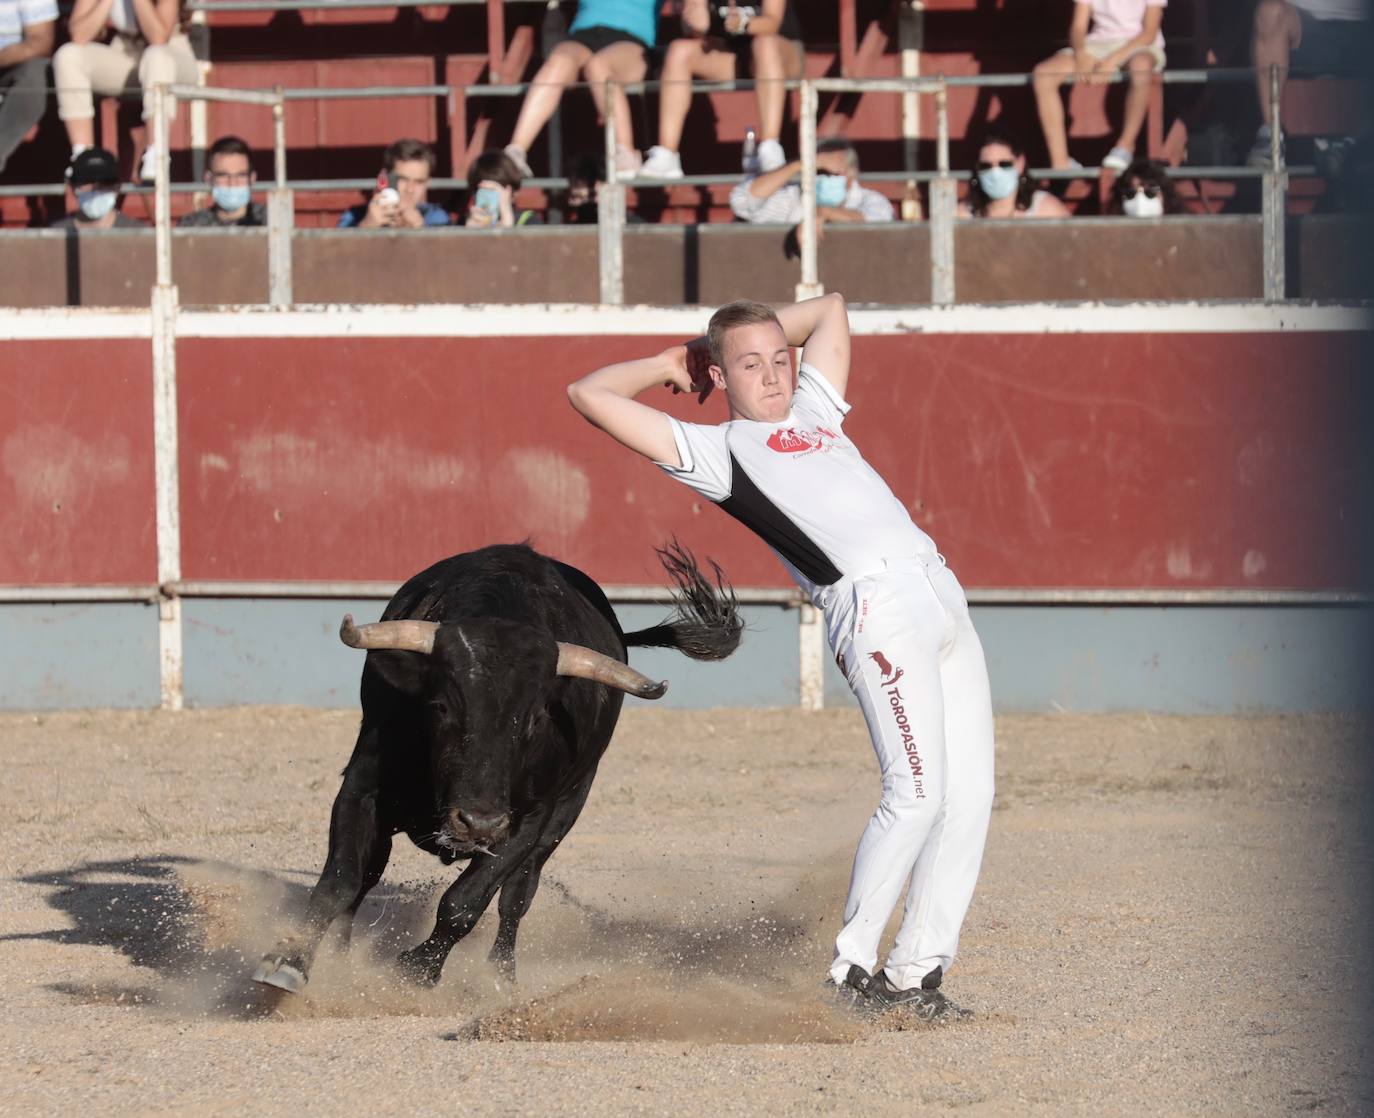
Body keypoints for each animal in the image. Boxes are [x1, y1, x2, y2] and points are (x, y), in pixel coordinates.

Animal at [250, 546, 741, 994]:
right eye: (441, 706)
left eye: (536, 719)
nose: (478, 824)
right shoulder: (362, 787)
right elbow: (340, 880)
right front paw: (290, 961)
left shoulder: (528, 822)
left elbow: (466, 902)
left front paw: (416, 971)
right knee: (367, 878)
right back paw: (341, 954)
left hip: (565, 814)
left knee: (517, 897)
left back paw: (502, 977)